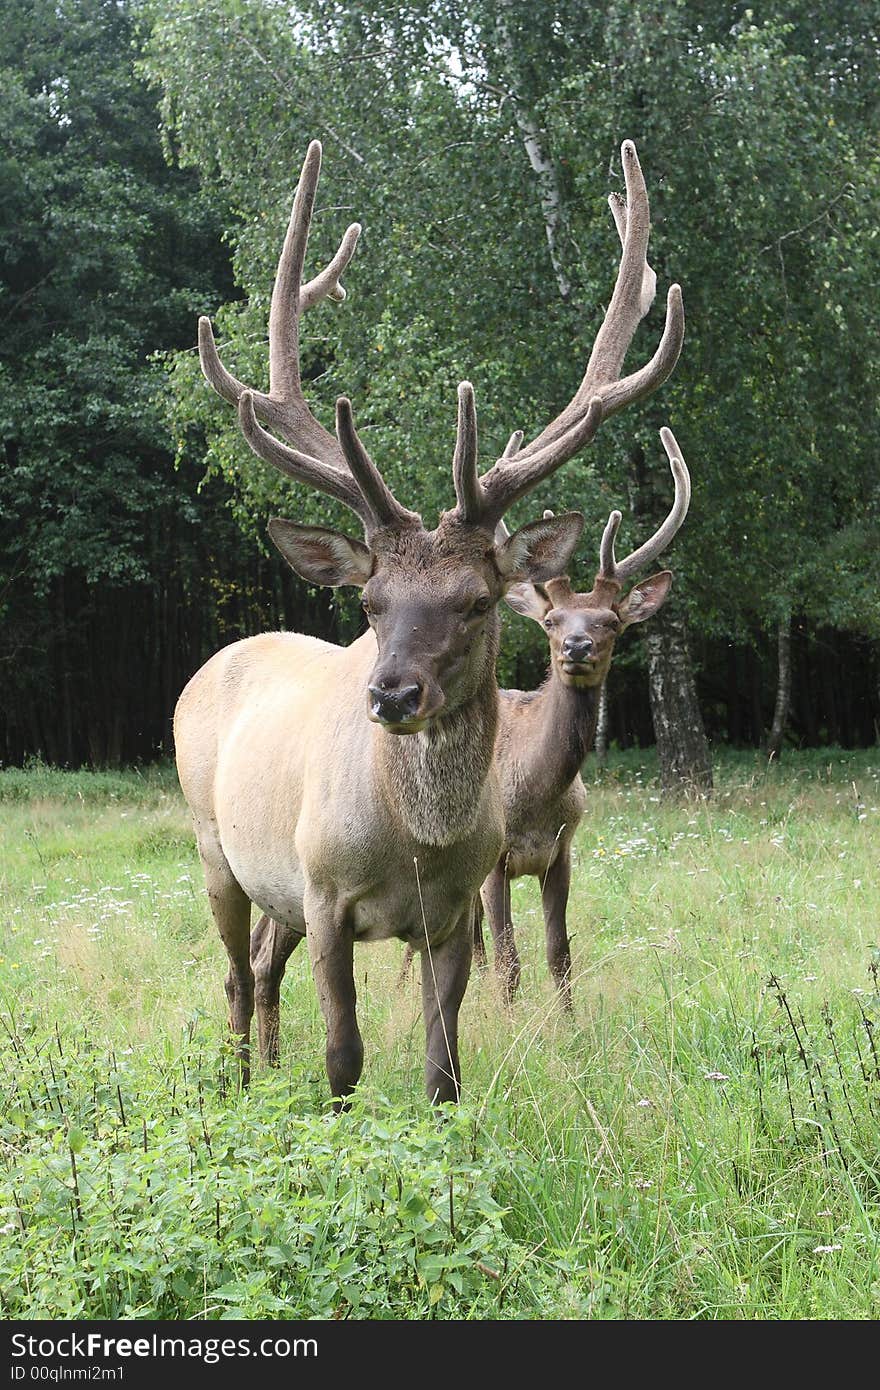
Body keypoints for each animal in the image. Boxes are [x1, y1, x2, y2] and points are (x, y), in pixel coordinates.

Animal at [171, 135, 678, 1100]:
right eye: (369, 604)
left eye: (476, 601)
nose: (392, 696)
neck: (415, 843)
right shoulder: (325, 890)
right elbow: (345, 1056)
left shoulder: (455, 910)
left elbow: (447, 1064)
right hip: (219, 848)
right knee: (231, 971)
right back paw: (242, 1080)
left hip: (273, 884)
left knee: (260, 964)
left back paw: (267, 1064)